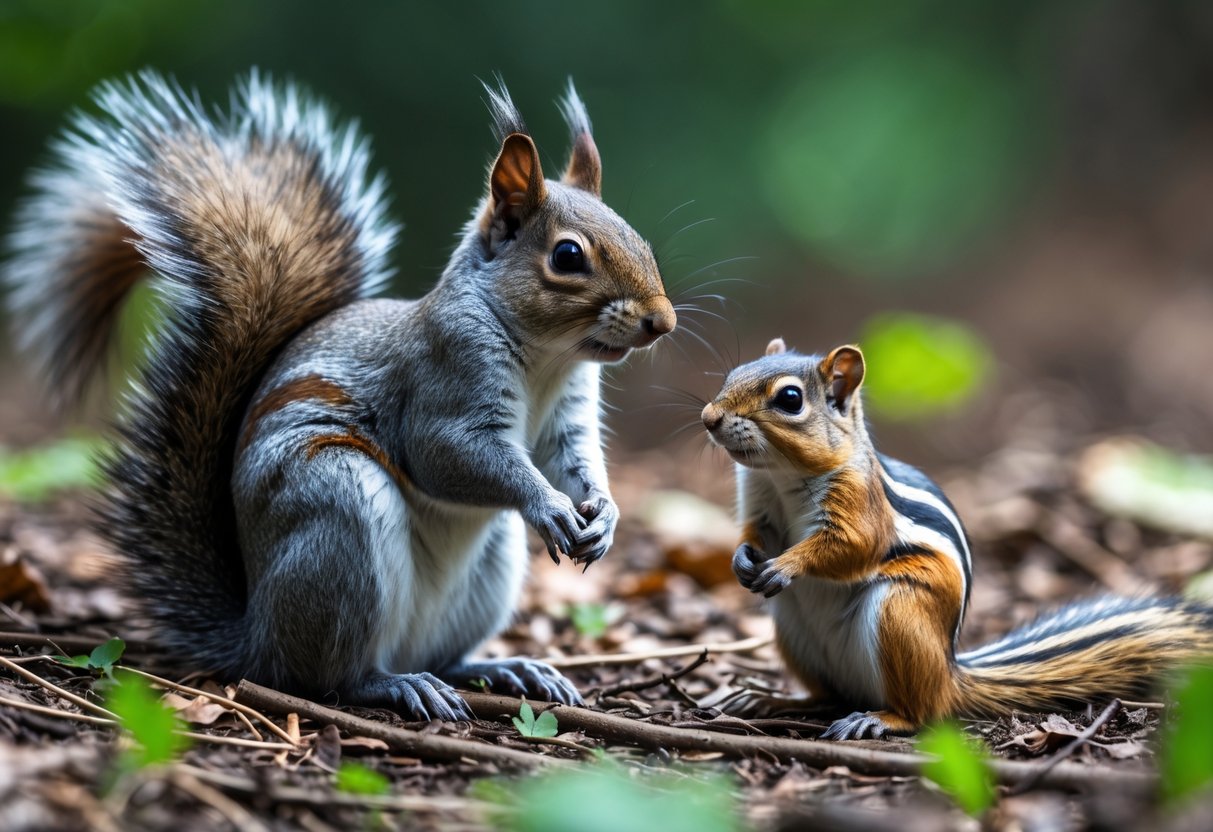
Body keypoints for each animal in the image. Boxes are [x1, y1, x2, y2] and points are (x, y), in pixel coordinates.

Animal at [4, 71, 676, 720]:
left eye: (642, 239)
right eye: (567, 255)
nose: (662, 323)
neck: (548, 359)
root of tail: (256, 636)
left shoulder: (569, 414)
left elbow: (576, 462)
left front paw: (603, 513)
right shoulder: (443, 381)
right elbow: (449, 455)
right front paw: (549, 506)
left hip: (486, 569)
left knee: (443, 655)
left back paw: (508, 669)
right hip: (338, 516)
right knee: (331, 676)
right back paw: (396, 686)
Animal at [702, 337, 1213, 740]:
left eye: (790, 399)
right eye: (732, 375)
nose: (709, 416)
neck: (782, 476)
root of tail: (949, 675)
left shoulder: (860, 504)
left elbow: (851, 547)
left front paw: (787, 564)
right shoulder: (760, 504)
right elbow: (754, 534)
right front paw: (741, 559)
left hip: (900, 612)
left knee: (922, 711)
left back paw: (881, 718)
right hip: (793, 630)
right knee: (828, 696)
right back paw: (775, 701)